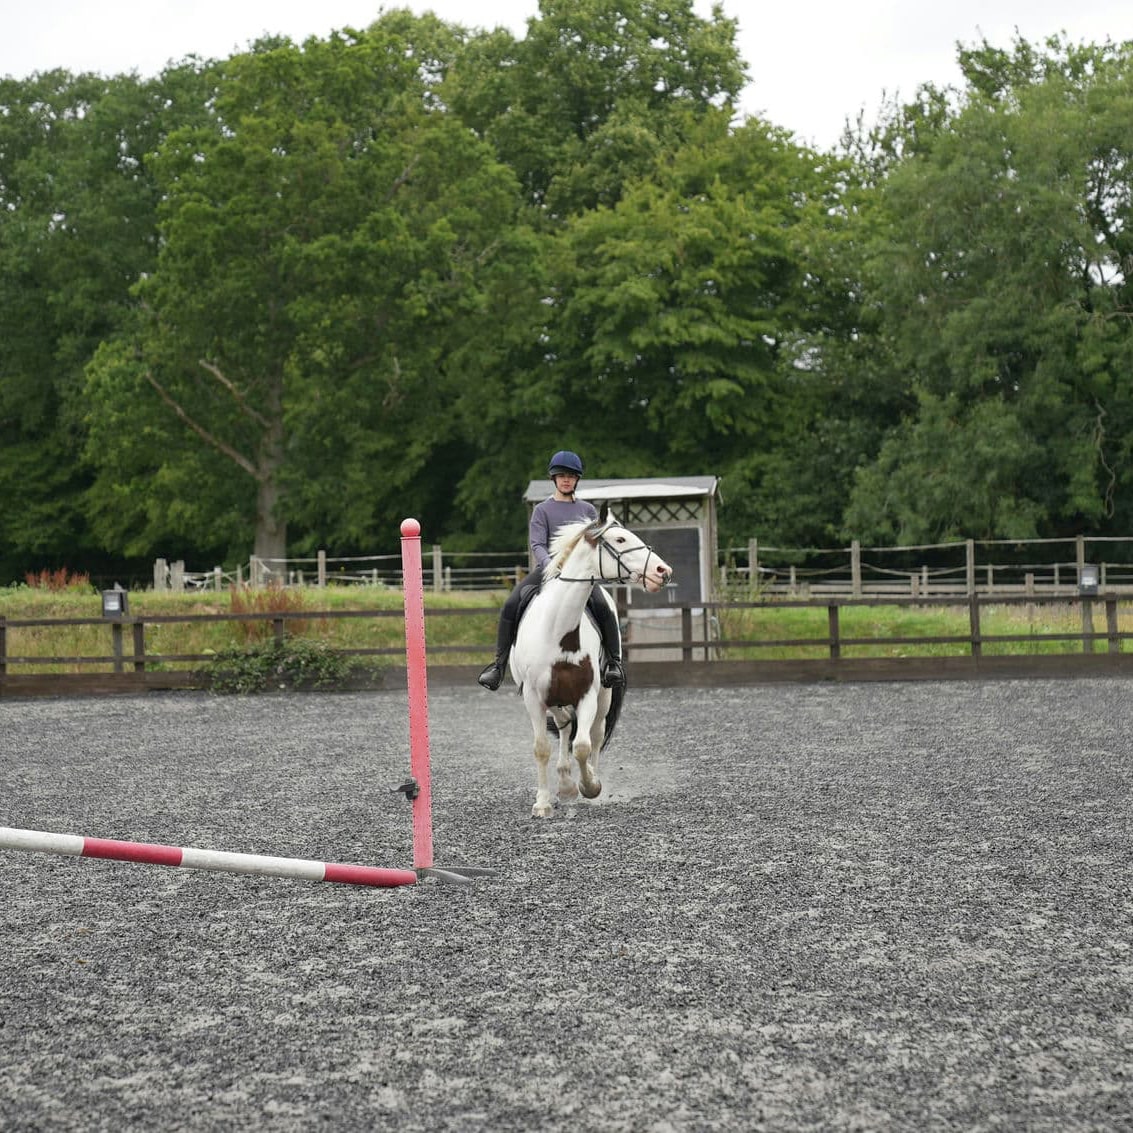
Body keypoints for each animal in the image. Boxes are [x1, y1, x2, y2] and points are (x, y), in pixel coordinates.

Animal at [508, 508, 672, 818]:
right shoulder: (534, 698)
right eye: (619, 539)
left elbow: (583, 746)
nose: (663, 571)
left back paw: (582, 782)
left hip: (604, 697)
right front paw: (543, 803)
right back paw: (564, 784)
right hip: (554, 700)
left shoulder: (587, 695)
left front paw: (591, 786)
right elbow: (541, 748)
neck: (559, 633)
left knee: (592, 736)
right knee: (563, 727)